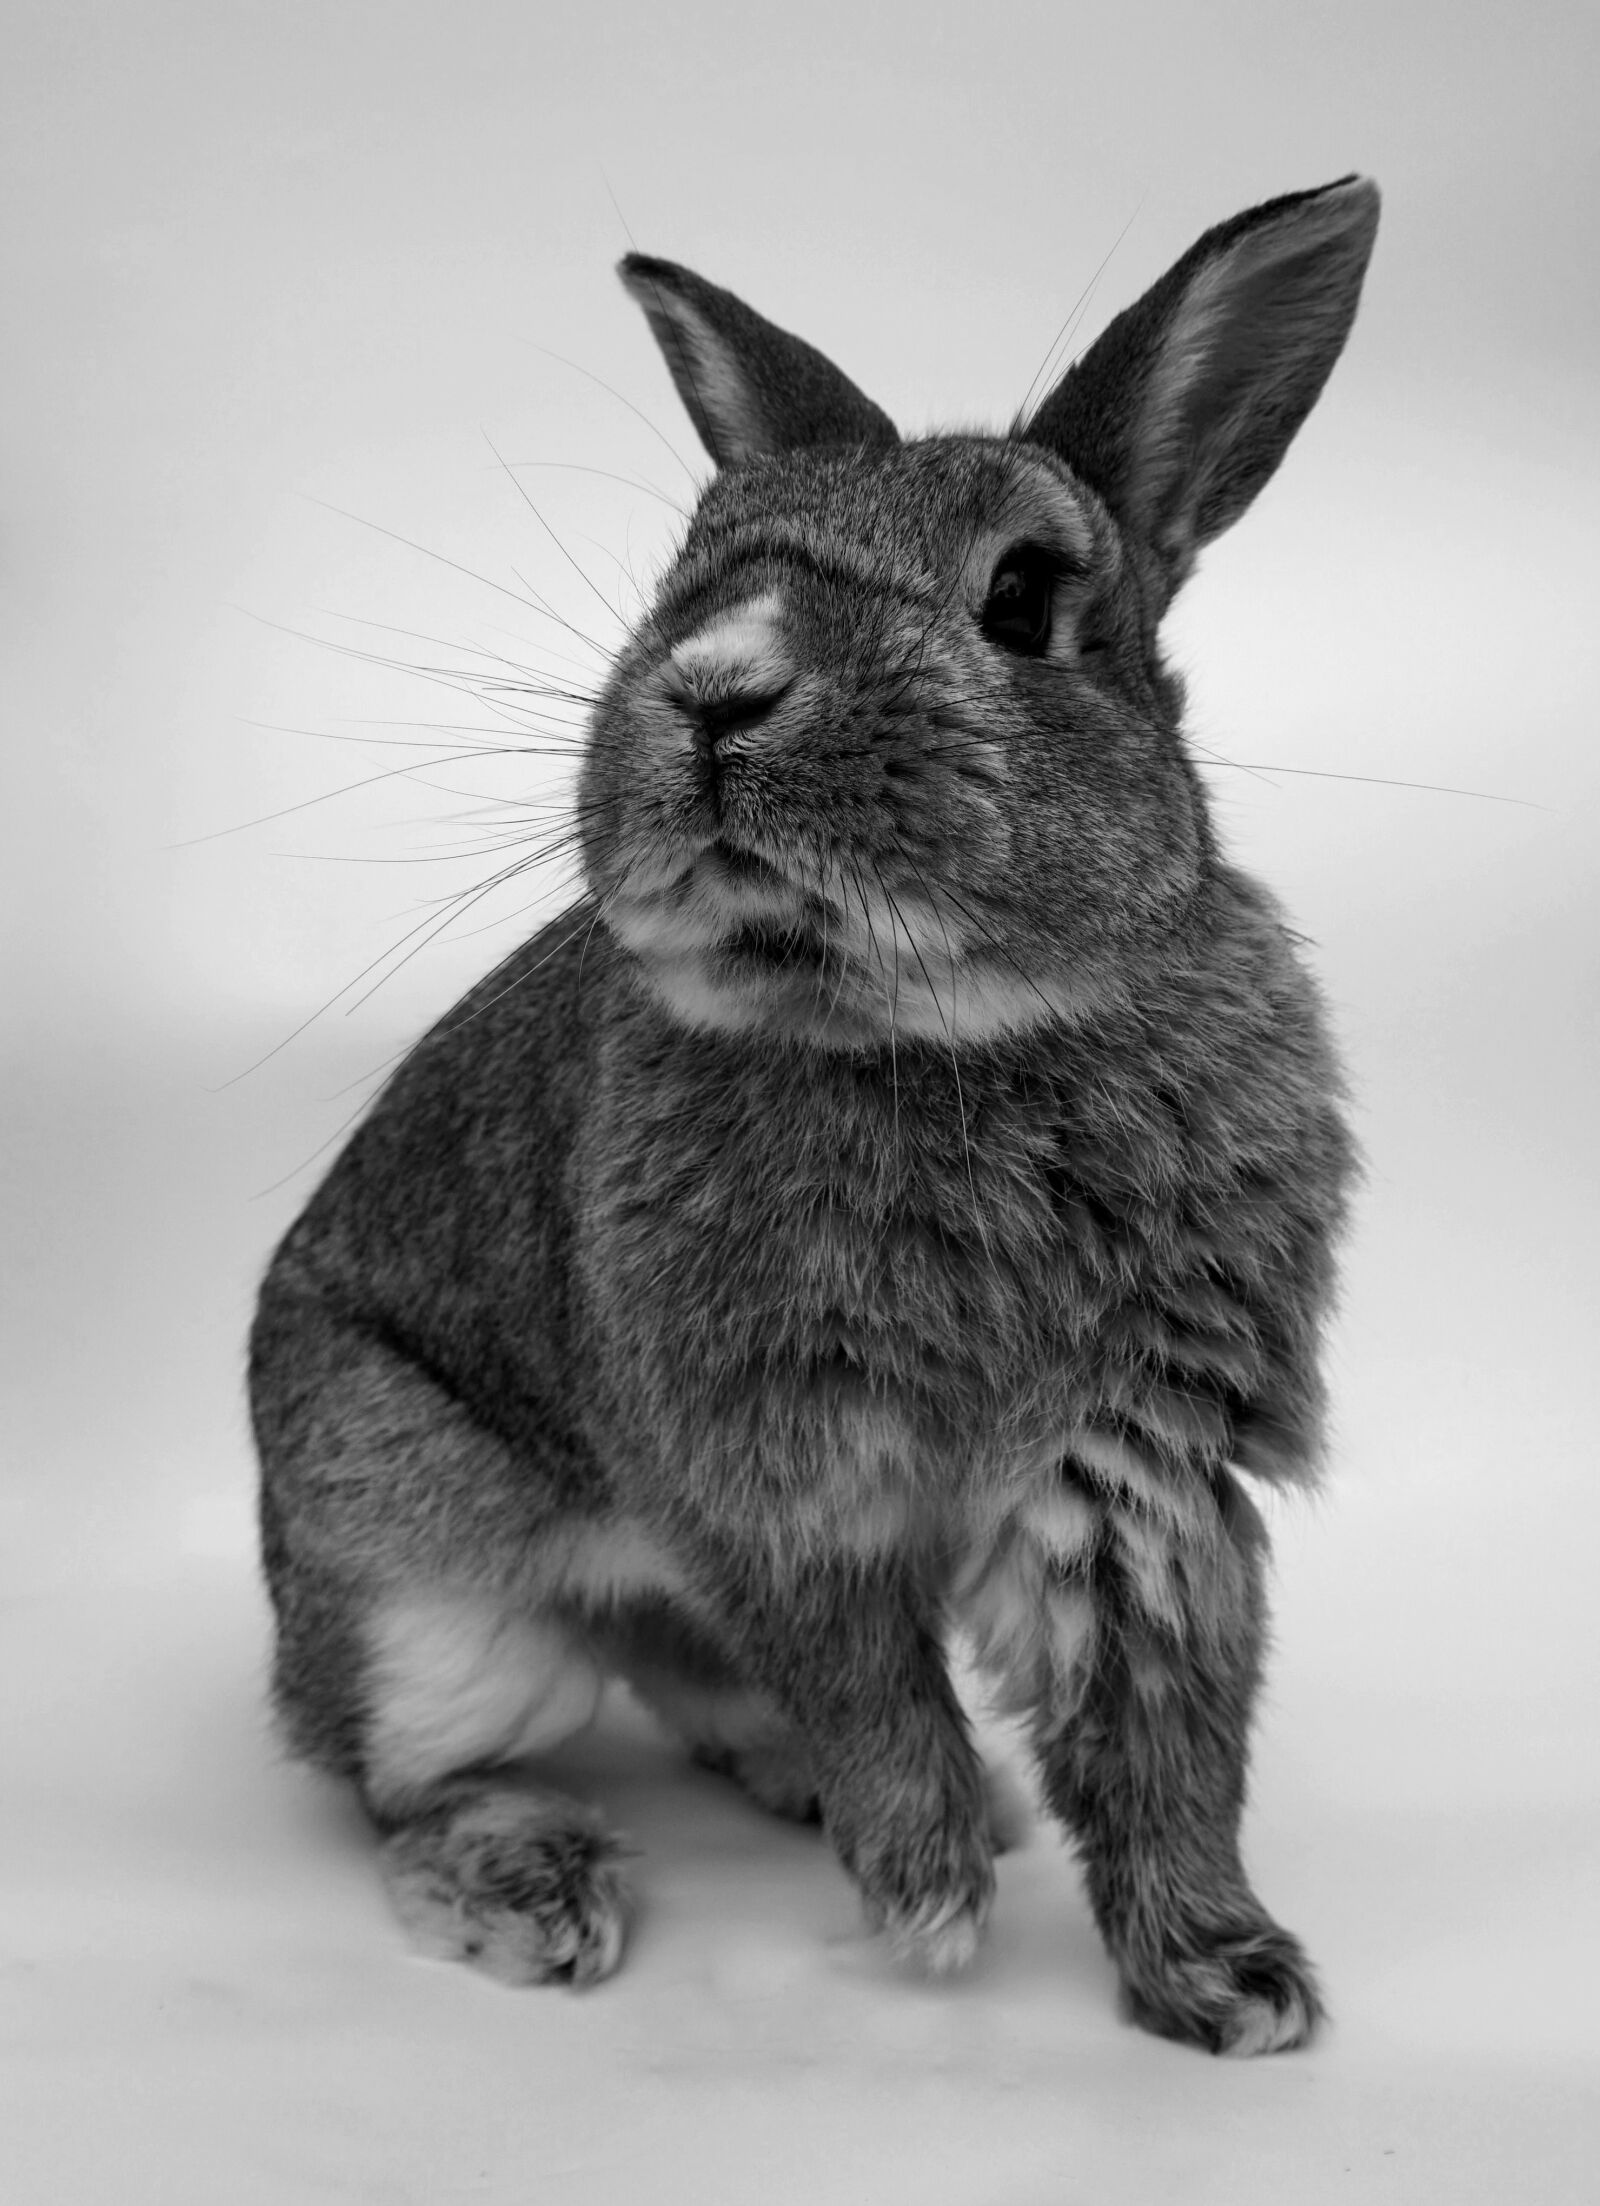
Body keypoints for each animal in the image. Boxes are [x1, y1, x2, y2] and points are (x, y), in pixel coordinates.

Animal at [251, 174, 1378, 2055]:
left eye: (1022, 595)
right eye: (686, 574)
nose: (713, 687)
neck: (934, 1027)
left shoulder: (1127, 1461)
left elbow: (1162, 1738)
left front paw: (1229, 1981)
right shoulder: (779, 1467)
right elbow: (869, 1686)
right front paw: (930, 1903)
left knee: (687, 1672)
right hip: (417, 1576)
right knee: (403, 1784)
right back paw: (539, 1887)